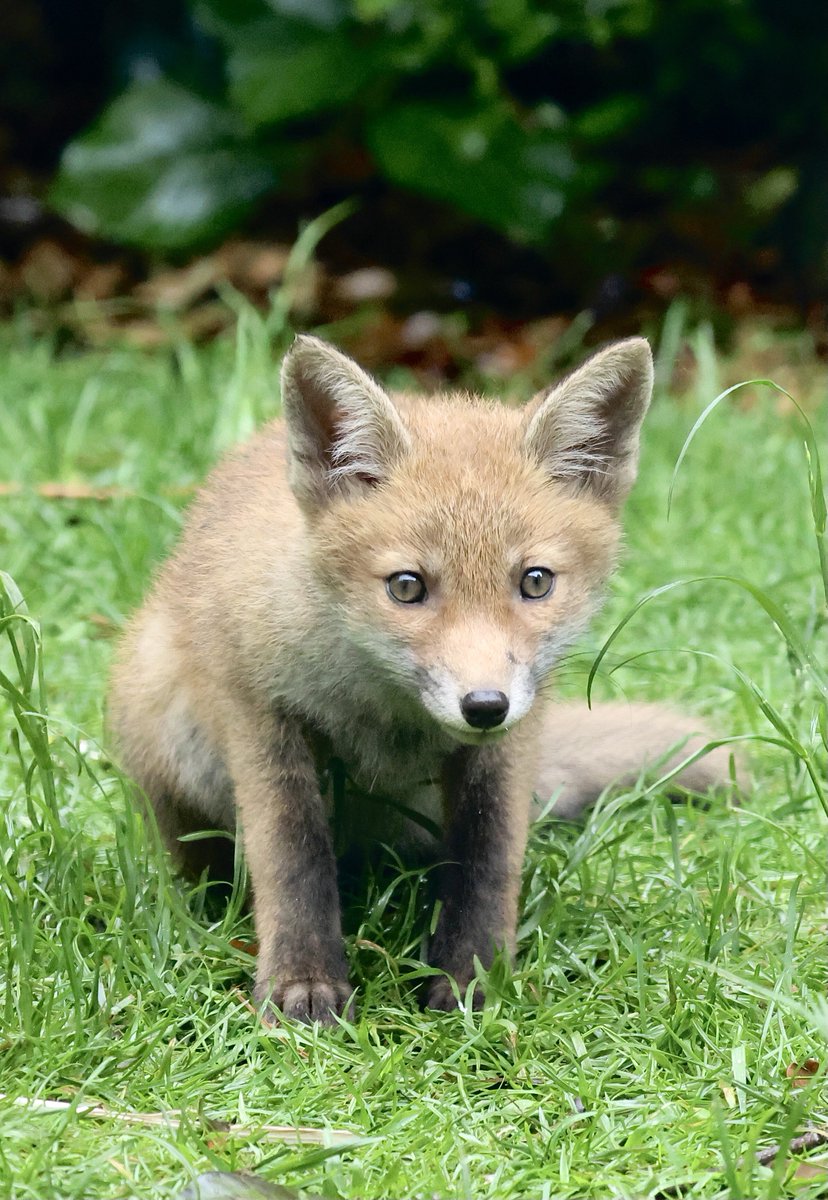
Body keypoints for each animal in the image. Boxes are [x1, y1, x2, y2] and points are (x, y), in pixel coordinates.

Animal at [109, 333, 736, 1024]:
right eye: (407, 587)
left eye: (535, 581)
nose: (484, 705)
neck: (385, 712)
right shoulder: (259, 713)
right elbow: (293, 861)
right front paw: (303, 983)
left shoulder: (508, 748)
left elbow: (487, 865)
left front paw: (472, 984)